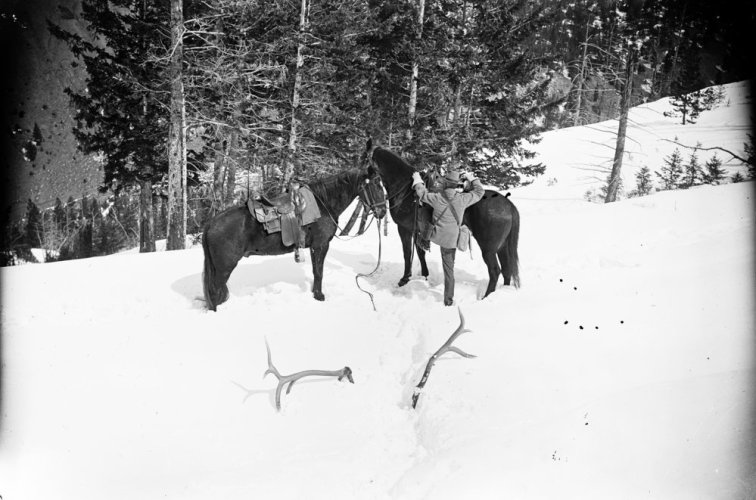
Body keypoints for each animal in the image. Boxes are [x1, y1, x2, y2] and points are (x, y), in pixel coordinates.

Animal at [202, 166, 386, 310]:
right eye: (375, 185)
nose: (383, 211)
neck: (323, 204)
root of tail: (211, 223)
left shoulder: (314, 247)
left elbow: (315, 271)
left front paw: (315, 293)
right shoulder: (321, 245)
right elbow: (319, 272)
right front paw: (319, 296)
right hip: (224, 267)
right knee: (215, 291)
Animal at [364, 139, 520, 298]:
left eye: (364, 158)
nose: (379, 212)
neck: (405, 190)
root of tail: (508, 205)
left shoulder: (404, 229)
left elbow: (407, 253)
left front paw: (404, 279)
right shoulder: (418, 230)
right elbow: (420, 252)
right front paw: (425, 276)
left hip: (488, 249)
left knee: (495, 271)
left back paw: (486, 297)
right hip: (502, 247)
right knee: (507, 270)